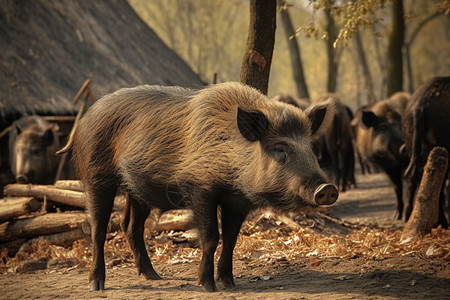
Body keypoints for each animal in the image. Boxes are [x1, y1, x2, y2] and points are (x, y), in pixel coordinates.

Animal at [58, 81, 338, 292]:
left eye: (310, 148)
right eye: (280, 149)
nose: (327, 188)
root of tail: (84, 119)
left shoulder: (237, 201)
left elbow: (232, 239)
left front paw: (230, 284)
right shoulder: (199, 189)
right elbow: (211, 238)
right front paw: (208, 286)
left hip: (136, 188)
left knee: (130, 225)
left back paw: (154, 276)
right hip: (97, 175)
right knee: (98, 228)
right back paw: (97, 285)